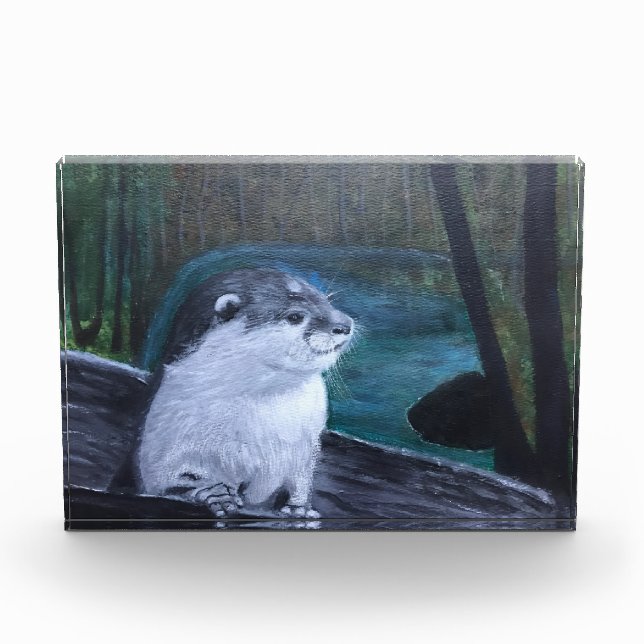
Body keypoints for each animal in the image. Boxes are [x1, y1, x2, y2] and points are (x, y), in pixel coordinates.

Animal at [125, 268, 353, 518]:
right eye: (295, 316)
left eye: (326, 301)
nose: (345, 324)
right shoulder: (158, 443)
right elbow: (171, 483)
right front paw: (214, 493)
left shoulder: (305, 449)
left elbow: (299, 481)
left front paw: (298, 508)